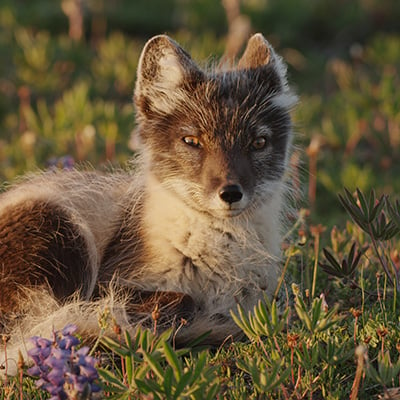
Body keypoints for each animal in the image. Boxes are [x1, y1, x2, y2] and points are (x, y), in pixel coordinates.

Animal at [0, 32, 296, 374]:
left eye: (258, 142)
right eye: (192, 141)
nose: (231, 193)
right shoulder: (110, 282)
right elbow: (181, 299)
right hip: (61, 232)